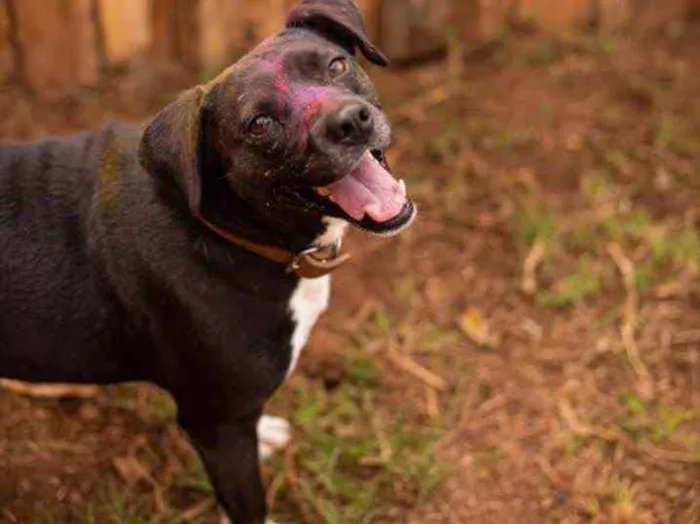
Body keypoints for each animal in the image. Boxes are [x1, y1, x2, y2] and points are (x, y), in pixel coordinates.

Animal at [0, 2, 416, 520]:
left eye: (336, 65)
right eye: (259, 124)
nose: (350, 122)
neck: (229, 229)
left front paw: (265, 433)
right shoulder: (216, 423)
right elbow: (249, 504)